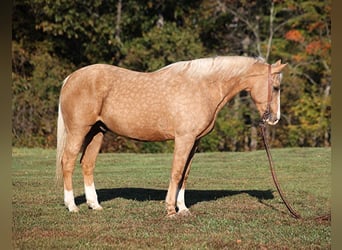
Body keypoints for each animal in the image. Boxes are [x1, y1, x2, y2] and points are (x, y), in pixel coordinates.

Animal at [55, 56, 286, 217]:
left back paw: (94, 205)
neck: (202, 87)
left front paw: (182, 208)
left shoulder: (195, 141)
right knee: (68, 162)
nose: (275, 119)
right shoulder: (184, 139)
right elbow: (176, 172)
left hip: (97, 132)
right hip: (78, 130)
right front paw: (170, 209)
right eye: (275, 87)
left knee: (87, 164)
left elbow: (185, 174)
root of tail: (70, 78)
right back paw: (72, 206)